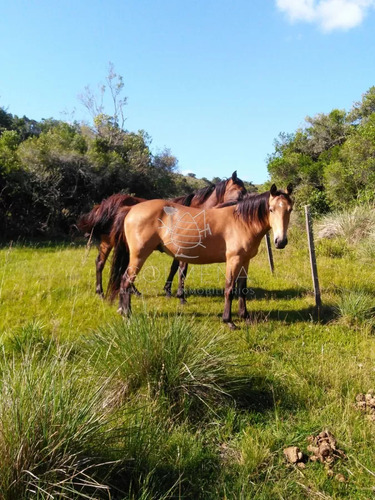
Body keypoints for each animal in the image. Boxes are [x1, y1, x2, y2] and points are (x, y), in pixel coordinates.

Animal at [77, 172, 247, 296]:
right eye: (240, 192)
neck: (196, 210)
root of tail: (107, 204)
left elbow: (174, 268)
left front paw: (168, 289)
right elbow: (181, 270)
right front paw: (178, 294)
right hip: (110, 242)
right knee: (101, 263)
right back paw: (101, 291)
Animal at [107, 184, 296, 328]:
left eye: (290, 209)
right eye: (271, 209)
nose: (280, 241)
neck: (241, 221)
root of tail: (131, 209)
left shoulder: (245, 261)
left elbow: (242, 289)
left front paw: (245, 316)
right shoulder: (233, 260)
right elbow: (229, 289)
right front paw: (229, 321)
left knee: (124, 281)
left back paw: (122, 310)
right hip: (139, 255)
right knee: (126, 281)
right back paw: (127, 314)